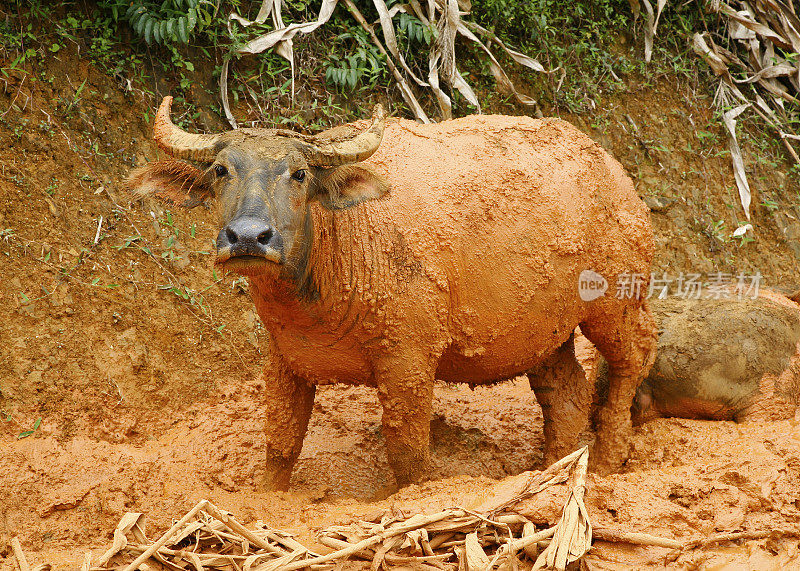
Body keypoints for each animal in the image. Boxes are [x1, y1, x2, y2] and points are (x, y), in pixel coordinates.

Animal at [130, 96, 656, 490]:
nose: (247, 237)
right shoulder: (284, 360)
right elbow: (281, 442)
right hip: (543, 333)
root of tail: (614, 173)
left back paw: (607, 459)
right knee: (567, 394)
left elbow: (407, 451)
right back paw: (556, 468)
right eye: (221, 170)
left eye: (298, 174)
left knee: (634, 356)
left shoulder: (408, 361)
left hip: (615, 303)